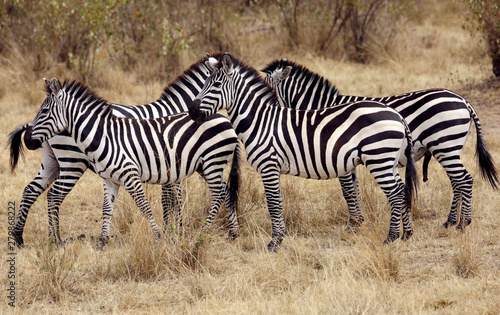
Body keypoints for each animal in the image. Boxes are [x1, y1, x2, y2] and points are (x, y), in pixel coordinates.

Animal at [6, 53, 240, 248]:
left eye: (45, 110)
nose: (28, 139)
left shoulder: (169, 166)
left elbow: (165, 202)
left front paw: (170, 232)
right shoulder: (166, 167)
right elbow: (164, 202)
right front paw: (170, 231)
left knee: (34, 191)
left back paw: (24, 237)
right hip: (71, 162)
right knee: (49, 194)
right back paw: (49, 239)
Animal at [188, 53, 418, 252]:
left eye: (217, 85)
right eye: (204, 84)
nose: (192, 111)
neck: (260, 121)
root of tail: (397, 115)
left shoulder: (269, 166)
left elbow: (273, 203)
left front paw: (275, 242)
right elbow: (278, 202)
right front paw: (280, 238)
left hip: (379, 158)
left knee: (395, 193)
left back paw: (390, 237)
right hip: (388, 161)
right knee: (402, 189)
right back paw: (406, 233)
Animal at [260, 58, 498, 232]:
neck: (321, 109)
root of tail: (462, 99)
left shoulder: (338, 154)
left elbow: (347, 191)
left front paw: (353, 225)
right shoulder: (348, 159)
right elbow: (353, 189)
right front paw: (358, 221)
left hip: (445, 147)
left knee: (464, 180)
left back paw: (462, 224)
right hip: (448, 150)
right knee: (457, 183)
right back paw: (450, 221)